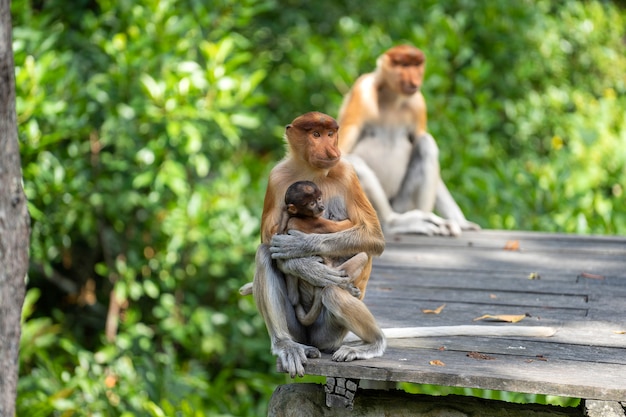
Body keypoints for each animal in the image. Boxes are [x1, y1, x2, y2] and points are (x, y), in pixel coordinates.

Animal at [336, 44, 478, 237]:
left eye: (416, 65)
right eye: (404, 65)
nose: (414, 78)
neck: (392, 97)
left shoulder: (418, 103)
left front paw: (462, 222)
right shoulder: (362, 92)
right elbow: (339, 153)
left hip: (402, 205)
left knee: (426, 144)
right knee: (352, 162)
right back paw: (392, 223)